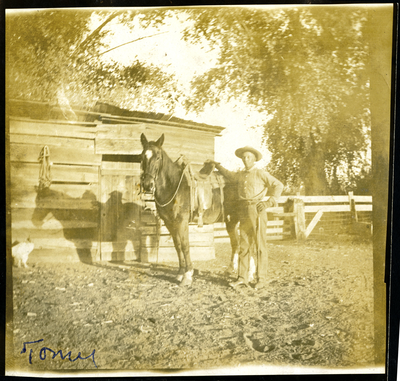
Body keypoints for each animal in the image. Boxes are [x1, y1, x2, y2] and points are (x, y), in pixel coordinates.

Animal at [141, 134, 239, 284]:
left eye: (158, 157)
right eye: (142, 156)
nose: (147, 184)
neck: (173, 186)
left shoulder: (182, 221)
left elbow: (185, 245)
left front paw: (188, 275)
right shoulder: (170, 223)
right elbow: (177, 246)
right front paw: (180, 272)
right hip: (231, 221)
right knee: (236, 243)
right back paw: (230, 269)